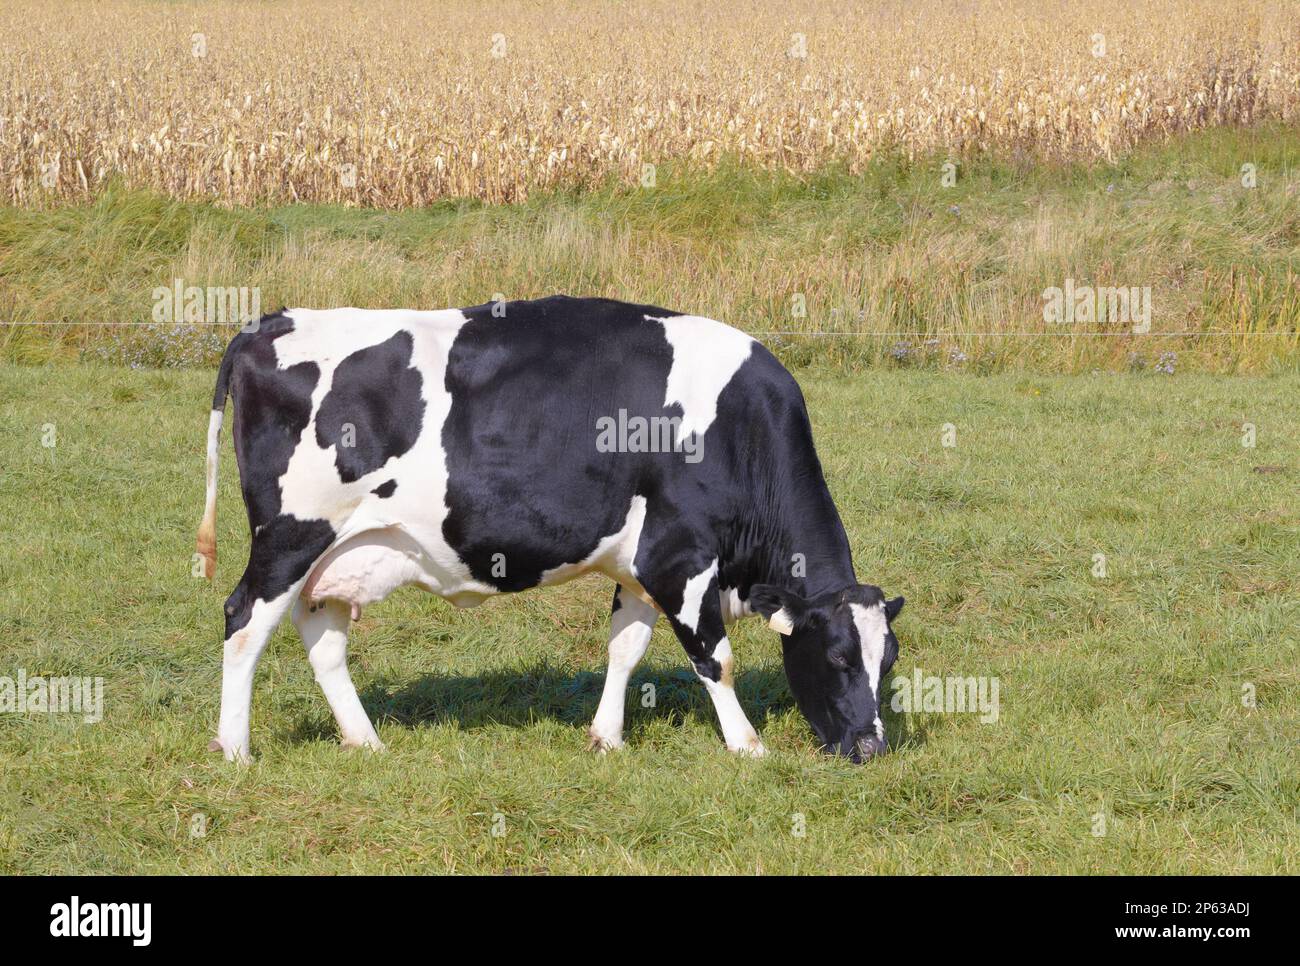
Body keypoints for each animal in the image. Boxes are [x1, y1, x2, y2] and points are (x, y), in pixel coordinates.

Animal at [196, 296, 904, 764]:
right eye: (839, 656)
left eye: (889, 659)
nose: (872, 747)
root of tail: (270, 321)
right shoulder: (680, 557)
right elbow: (716, 659)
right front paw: (748, 745)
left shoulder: (639, 564)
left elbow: (625, 648)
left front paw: (607, 737)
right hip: (291, 535)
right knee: (243, 621)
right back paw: (235, 749)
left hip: (342, 554)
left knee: (321, 639)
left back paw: (365, 740)